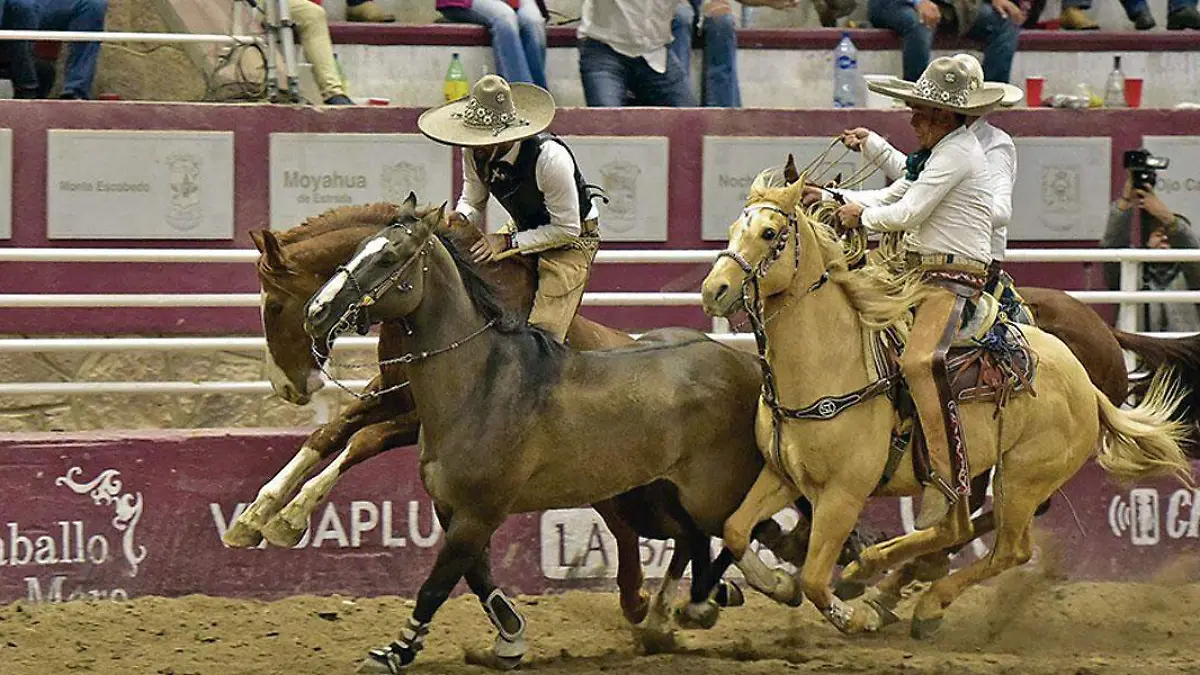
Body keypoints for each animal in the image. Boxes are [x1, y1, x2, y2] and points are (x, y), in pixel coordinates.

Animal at [695, 176, 1194, 639]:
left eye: (770, 233)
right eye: (733, 229)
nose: (714, 290)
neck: (831, 365)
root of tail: (1087, 384)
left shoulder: (843, 494)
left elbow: (817, 580)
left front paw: (851, 615)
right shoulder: (781, 474)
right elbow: (736, 529)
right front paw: (777, 584)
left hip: (1022, 476)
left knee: (1008, 548)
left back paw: (917, 600)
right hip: (974, 471)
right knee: (958, 529)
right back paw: (877, 577)